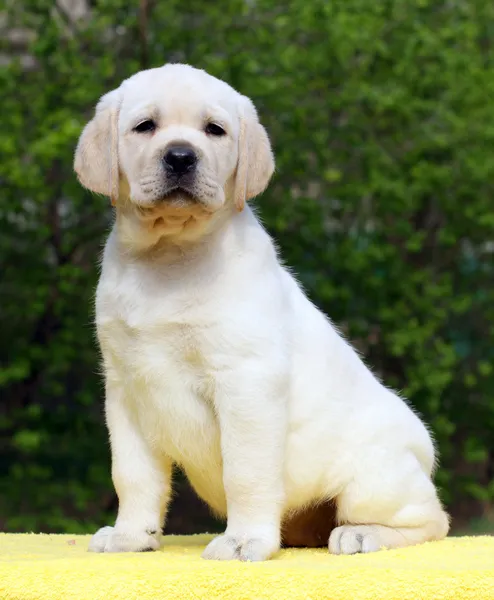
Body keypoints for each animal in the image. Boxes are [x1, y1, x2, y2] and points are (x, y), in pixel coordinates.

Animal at [75, 63, 450, 560]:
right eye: (145, 126)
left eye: (214, 130)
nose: (180, 157)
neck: (170, 255)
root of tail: (421, 449)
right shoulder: (126, 390)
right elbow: (133, 476)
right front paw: (131, 535)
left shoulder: (246, 381)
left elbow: (246, 472)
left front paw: (243, 540)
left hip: (375, 480)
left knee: (432, 520)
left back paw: (362, 534)